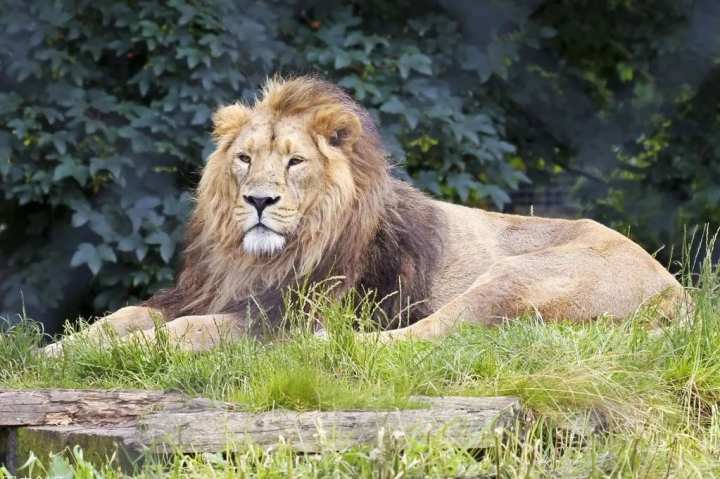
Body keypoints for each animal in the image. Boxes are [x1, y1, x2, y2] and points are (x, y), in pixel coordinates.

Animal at [43, 77, 688, 354]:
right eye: (245, 158)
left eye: (295, 162)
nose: (258, 201)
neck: (252, 260)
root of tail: (676, 292)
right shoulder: (202, 290)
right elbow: (126, 315)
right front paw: (61, 348)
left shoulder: (279, 314)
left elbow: (185, 332)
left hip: (513, 277)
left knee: (431, 335)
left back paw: (334, 344)